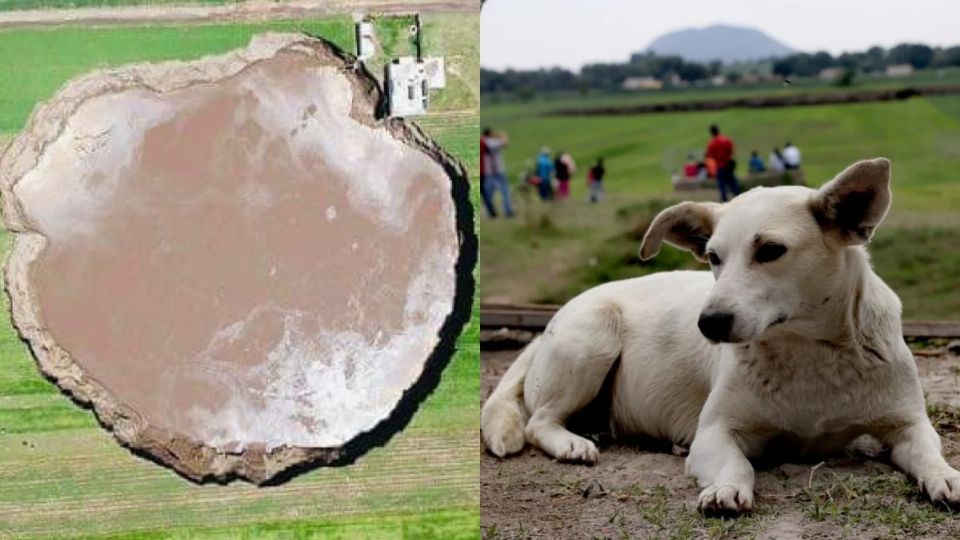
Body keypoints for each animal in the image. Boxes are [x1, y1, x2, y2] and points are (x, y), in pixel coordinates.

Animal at [488, 158, 960, 512]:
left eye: (771, 251)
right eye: (713, 256)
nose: (709, 323)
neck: (807, 350)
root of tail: (553, 320)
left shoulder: (908, 424)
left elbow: (928, 452)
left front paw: (946, 476)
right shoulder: (713, 434)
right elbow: (740, 466)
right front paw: (728, 488)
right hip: (594, 338)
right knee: (538, 421)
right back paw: (572, 443)